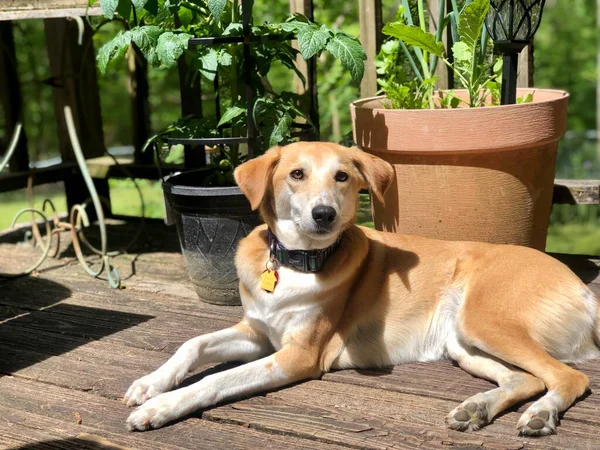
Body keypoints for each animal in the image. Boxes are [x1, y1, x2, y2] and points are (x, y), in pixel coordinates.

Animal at [124, 142, 596, 436]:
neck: (298, 261)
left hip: (484, 321)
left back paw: (540, 415)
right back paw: (477, 408)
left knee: (570, 376)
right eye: (296, 174)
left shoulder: (297, 356)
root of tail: (583, 288)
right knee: (526, 379)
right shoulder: (257, 333)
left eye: (342, 177)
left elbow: (218, 379)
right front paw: (149, 384)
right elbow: (193, 343)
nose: (324, 214)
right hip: (462, 342)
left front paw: (161, 407)